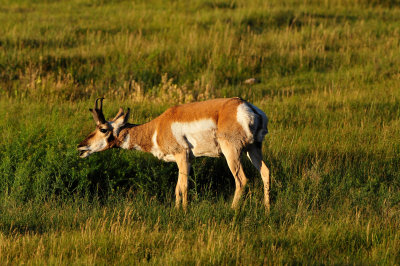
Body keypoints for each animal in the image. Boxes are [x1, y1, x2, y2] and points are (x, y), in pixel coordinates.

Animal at [78, 97, 270, 210]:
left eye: (103, 129)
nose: (81, 147)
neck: (157, 127)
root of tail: (247, 107)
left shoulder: (182, 156)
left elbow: (183, 186)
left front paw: (183, 212)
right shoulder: (187, 160)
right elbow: (177, 188)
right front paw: (177, 210)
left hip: (232, 152)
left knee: (241, 180)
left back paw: (232, 210)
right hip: (253, 149)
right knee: (265, 172)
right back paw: (267, 209)